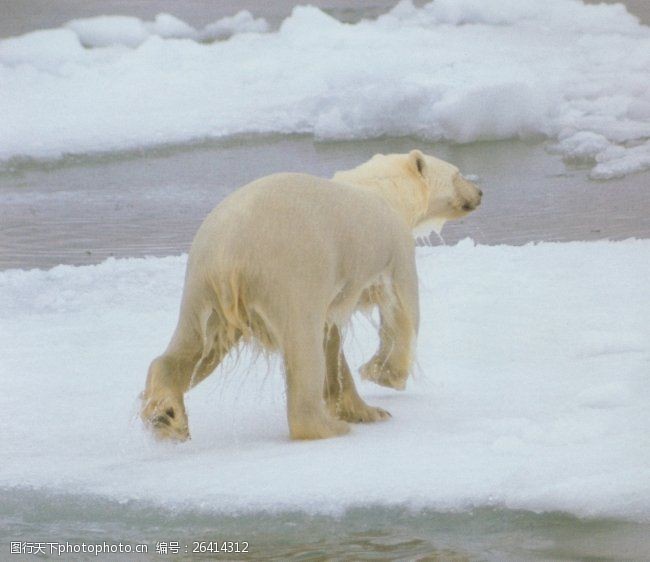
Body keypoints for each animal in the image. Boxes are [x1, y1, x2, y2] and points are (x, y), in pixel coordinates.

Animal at [139, 151, 478, 440]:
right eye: (458, 173)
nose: (480, 191)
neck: (383, 190)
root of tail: (230, 253)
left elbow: (333, 340)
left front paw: (365, 410)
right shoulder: (394, 248)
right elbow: (403, 309)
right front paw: (384, 375)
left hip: (201, 284)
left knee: (197, 345)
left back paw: (166, 414)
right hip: (292, 275)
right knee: (303, 350)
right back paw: (328, 427)